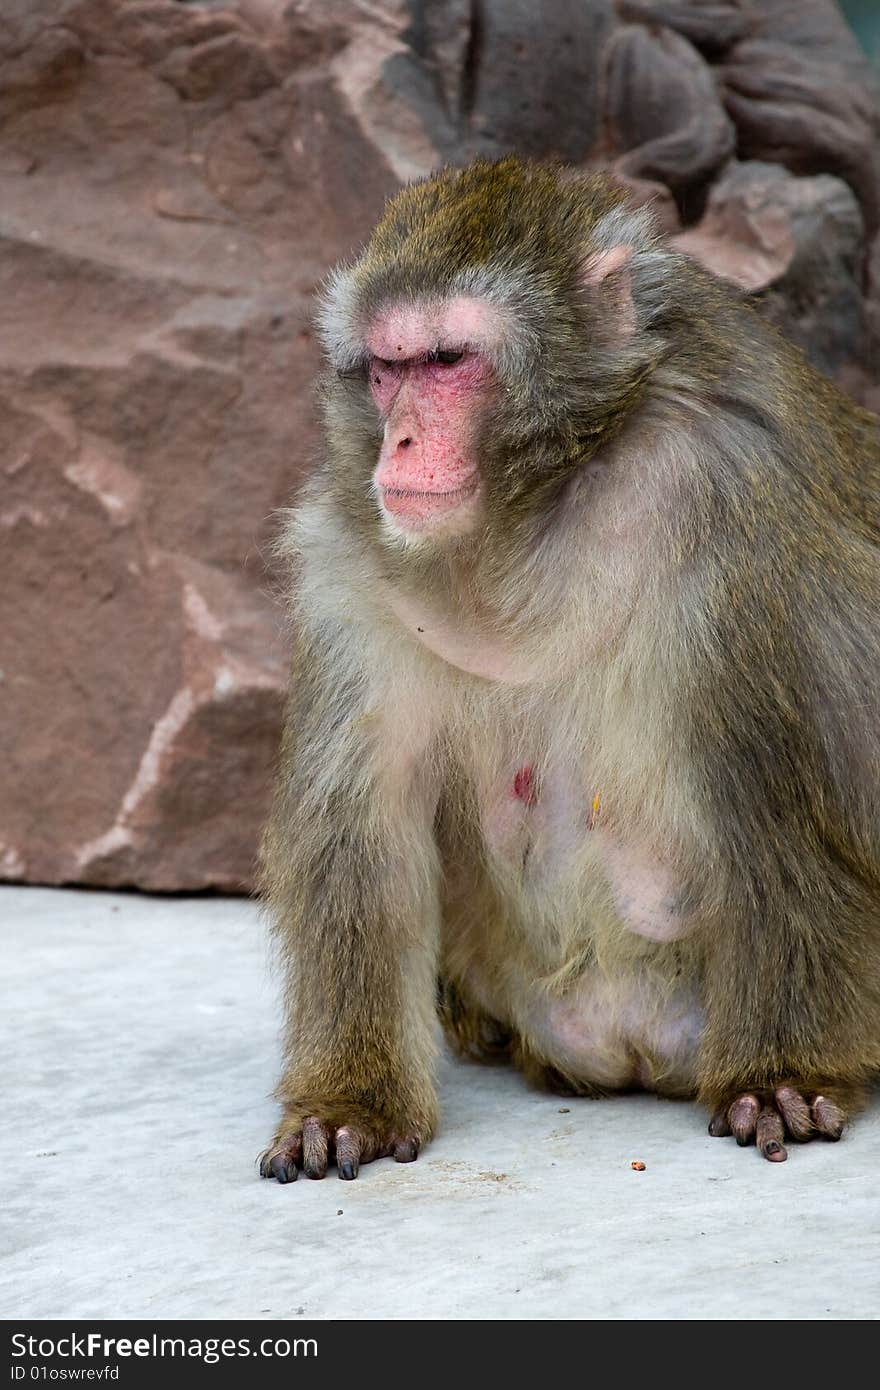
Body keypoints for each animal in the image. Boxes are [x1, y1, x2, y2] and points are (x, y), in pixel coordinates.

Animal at [255, 162, 878, 1184]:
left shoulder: (736, 498)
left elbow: (777, 807)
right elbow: (363, 838)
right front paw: (351, 1101)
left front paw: (781, 1074)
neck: (541, 507)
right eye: (387, 370)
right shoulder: (346, 553)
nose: (399, 445)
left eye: (448, 361)